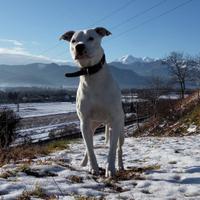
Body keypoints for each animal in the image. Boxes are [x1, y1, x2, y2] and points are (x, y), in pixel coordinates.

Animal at [60, 27, 124, 177]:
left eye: (91, 38)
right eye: (73, 40)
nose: (79, 46)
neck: (91, 75)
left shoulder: (115, 121)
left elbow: (112, 149)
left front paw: (110, 169)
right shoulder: (84, 122)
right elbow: (89, 147)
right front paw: (93, 167)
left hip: (120, 128)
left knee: (119, 147)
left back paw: (120, 165)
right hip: (92, 125)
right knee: (88, 144)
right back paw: (84, 163)